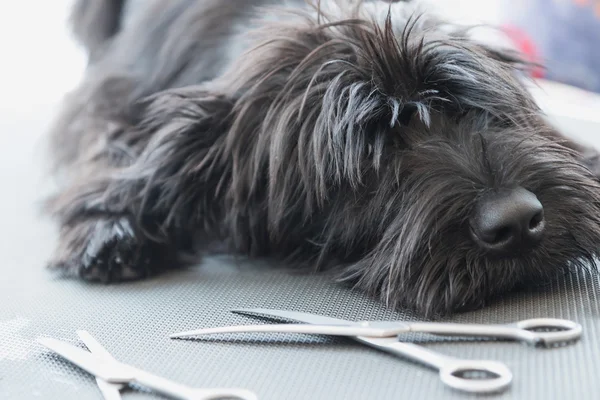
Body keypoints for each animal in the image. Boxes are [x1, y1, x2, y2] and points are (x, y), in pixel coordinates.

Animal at [44, 0, 600, 318]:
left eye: (467, 108)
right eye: (369, 157)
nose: (517, 220)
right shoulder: (106, 98)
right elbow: (110, 151)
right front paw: (110, 226)